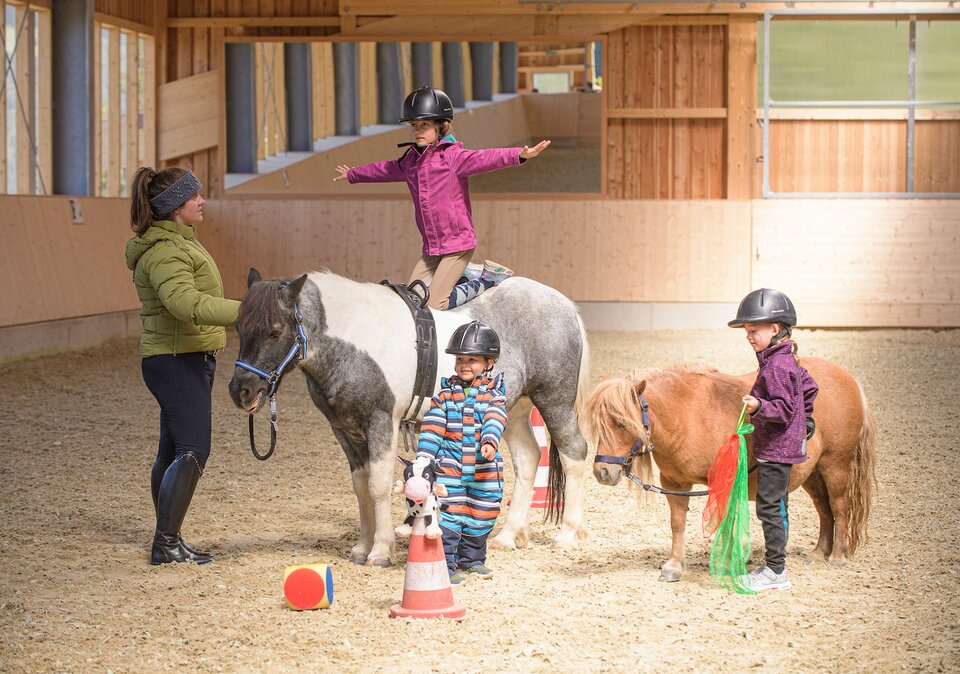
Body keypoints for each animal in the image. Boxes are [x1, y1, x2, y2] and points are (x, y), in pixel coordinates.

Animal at [231, 268, 592, 568]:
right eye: (238, 326)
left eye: (275, 331)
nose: (241, 390)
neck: (358, 339)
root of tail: (564, 304)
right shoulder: (345, 430)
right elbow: (360, 487)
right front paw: (362, 547)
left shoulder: (381, 423)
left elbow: (378, 486)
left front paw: (380, 550)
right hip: (512, 409)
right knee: (529, 457)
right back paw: (507, 536)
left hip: (554, 401)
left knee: (574, 454)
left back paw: (567, 535)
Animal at [584, 356, 876, 584]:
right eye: (599, 424)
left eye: (622, 423)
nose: (602, 472)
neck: (686, 414)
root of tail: (849, 378)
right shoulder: (674, 484)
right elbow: (677, 524)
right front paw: (674, 566)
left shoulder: (724, 482)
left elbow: (725, 522)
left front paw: (724, 563)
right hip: (812, 475)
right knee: (824, 509)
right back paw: (818, 552)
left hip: (835, 465)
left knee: (839, 506)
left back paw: (837, 555)